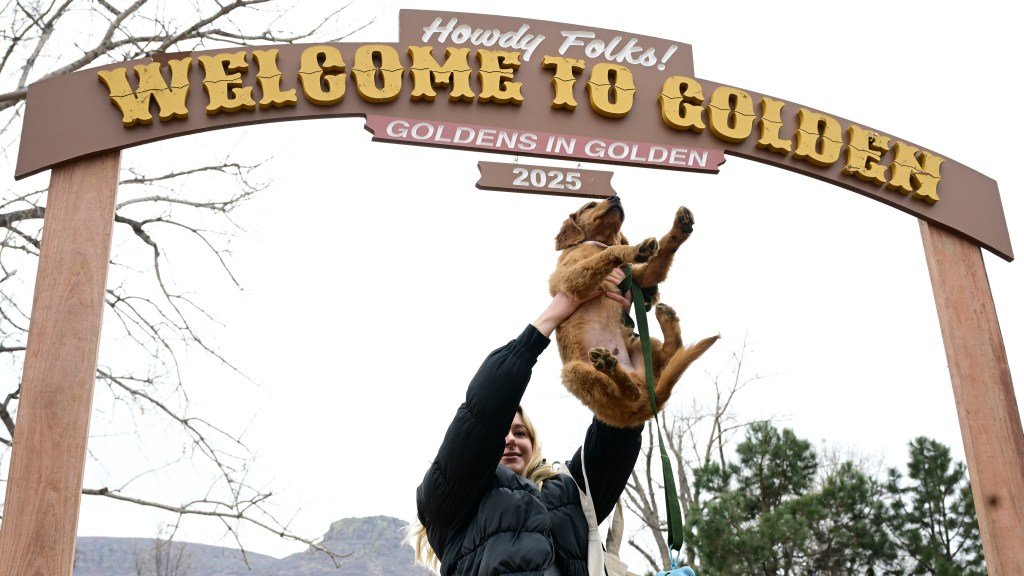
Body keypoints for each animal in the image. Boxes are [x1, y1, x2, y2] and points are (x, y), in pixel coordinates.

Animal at [548, 196, 716, 426]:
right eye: (589, 206)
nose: (615, 197)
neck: (600, 242)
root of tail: (649, 401)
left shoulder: (641, 278)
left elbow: (663, 252)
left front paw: (680, 227)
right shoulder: (569, 278)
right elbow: (609, 253)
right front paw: (636, 249)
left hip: (641, 344)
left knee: (671, 351)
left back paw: (665, 319)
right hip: (572, 372)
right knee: (629, 394)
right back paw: (609, 366)